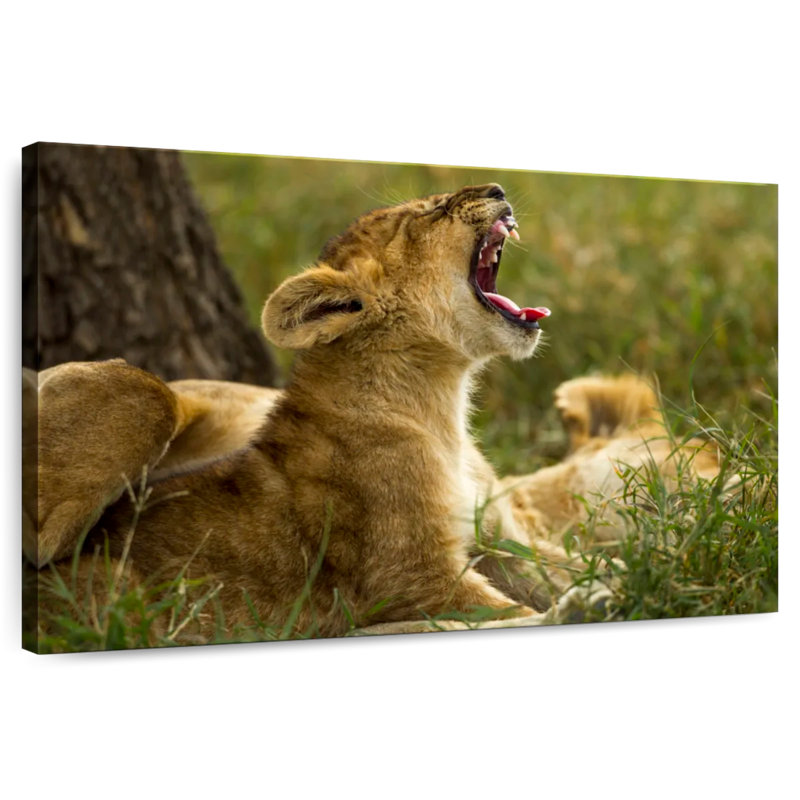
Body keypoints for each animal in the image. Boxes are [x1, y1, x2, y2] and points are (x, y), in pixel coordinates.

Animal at [25, 184, 719, 644]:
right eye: (431, 211)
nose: (497, 187)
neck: (440, 404)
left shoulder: (499, 541)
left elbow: (569, 563)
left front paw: (676, 565)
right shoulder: (411, 576)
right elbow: (506, 614)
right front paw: (621, 595)